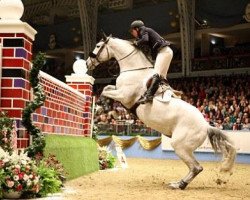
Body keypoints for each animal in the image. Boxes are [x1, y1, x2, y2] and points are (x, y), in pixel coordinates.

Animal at [85, 35, 234, 190]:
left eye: (98, 46)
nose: (87, 63)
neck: (134, 69)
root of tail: (206, 126)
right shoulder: (119, 91)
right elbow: (107, 87)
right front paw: (99, 106)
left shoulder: (123, 96)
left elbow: (104, 91)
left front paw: (99, 106)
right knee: (195, 168)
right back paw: (178, 183)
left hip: (180, 146)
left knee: (196, 167)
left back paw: (178, 185)